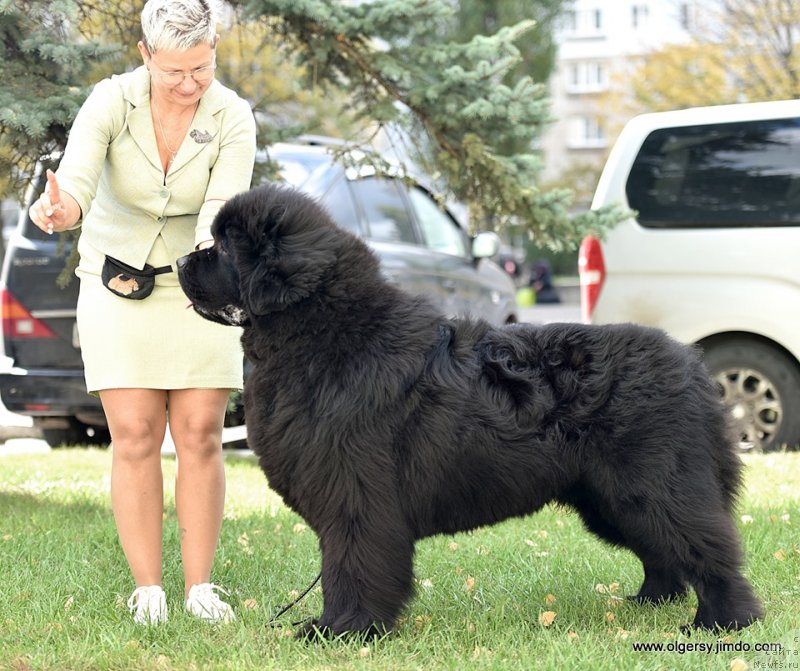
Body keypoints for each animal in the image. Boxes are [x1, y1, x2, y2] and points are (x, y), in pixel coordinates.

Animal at [177, 181, 764, 636]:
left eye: (224, 247)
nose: (180, 260)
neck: (326, 335)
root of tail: (691, 364)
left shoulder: (357, 497)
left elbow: (351, 566)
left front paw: (343, 631)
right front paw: (338, 628)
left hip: (651, 485)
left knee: (708, 547)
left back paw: (724, 622)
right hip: (609, 498)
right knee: (665, 552)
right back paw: (649, 602)